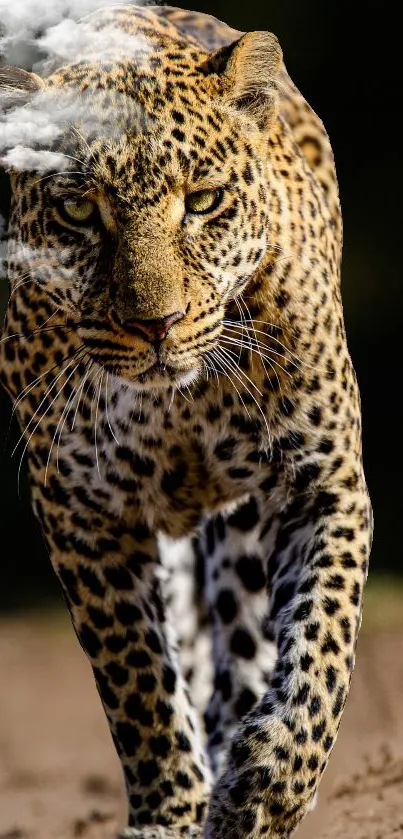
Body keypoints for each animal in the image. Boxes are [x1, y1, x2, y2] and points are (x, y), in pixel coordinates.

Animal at [0, 6, 372, 839]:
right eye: (78, 211)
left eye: (201, 201)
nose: (156, 325)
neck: (179, 402)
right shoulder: (83, 511)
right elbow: (138, 681)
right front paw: (169, 811)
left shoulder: (322, 478)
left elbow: (322, 646)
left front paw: (268, 785)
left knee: (248, 640)